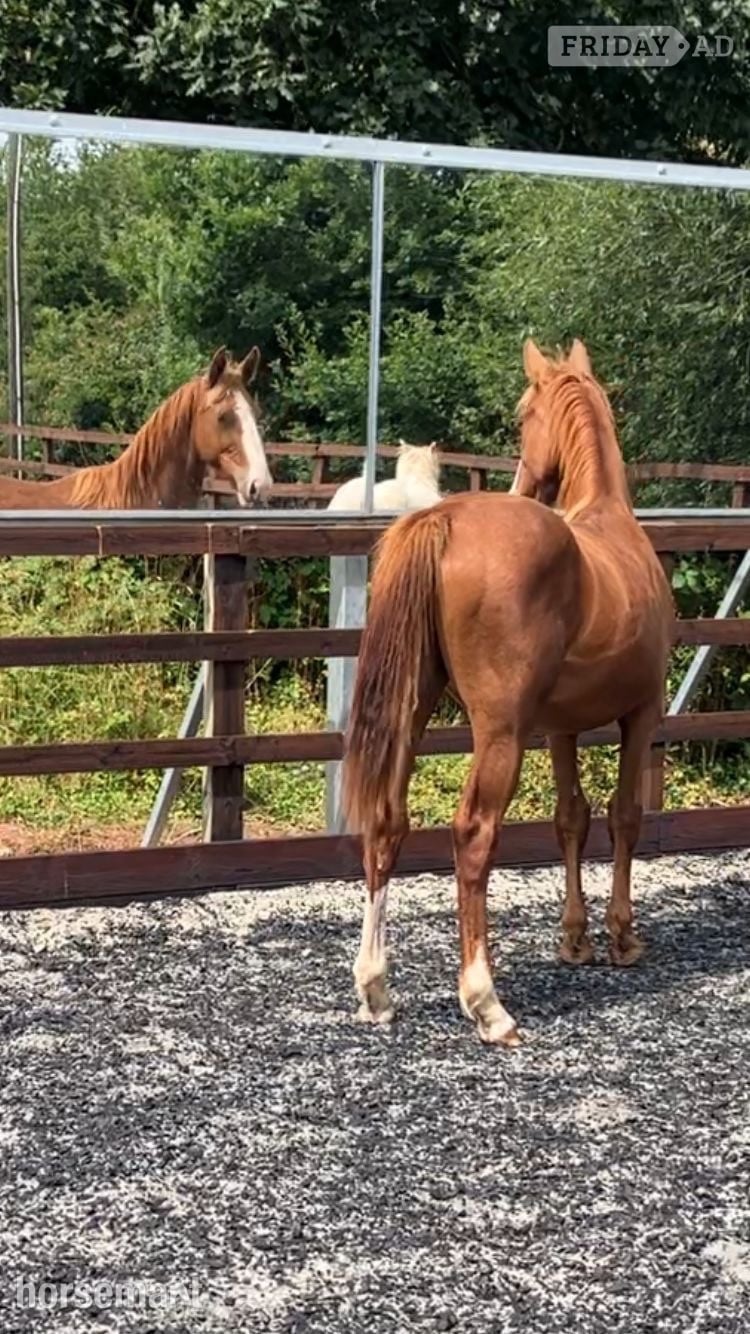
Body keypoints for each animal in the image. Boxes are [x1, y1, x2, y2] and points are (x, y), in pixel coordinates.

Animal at [342, 338, 674, 1047]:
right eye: (526, 413)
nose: (526, 482)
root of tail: (442, 519)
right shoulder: (641, 714)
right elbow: (624, 815)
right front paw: (621, 937)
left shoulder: (561, 727)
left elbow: (571, 818)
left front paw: (574, 939)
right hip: (499, 734)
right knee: (473, 835)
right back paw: (486, 1002)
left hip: (412, 714)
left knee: (386, 822)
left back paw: (376, 989)